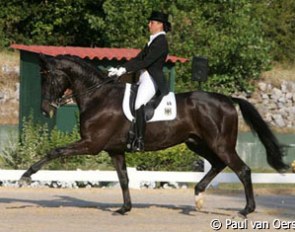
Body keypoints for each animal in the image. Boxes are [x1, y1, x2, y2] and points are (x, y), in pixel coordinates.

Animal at [19, 54, 290, 218]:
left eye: (49, 79)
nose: (45, 110)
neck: (98, 97)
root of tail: (227, 99)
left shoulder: (91, 144)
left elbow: (54, 151)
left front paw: (25, 177)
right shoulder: (115, 149)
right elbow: (124, 179)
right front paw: (124, 208)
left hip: (220, 143)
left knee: (242, 170)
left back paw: (245, 210)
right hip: (196, 143)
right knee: (218, 164)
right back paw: (199, 196)